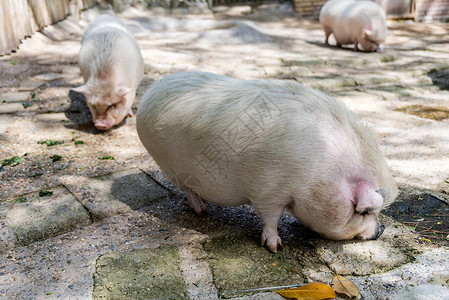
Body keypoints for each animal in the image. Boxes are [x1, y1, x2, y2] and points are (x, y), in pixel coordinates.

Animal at [136, 71, 396, 252]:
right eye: (362, 211)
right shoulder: (268, 191)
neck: (319, 172)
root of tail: (149, 96)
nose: (382, 229)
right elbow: (271, 218)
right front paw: (275, 248)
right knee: (187, 189)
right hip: (167, 165)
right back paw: (202, 211)